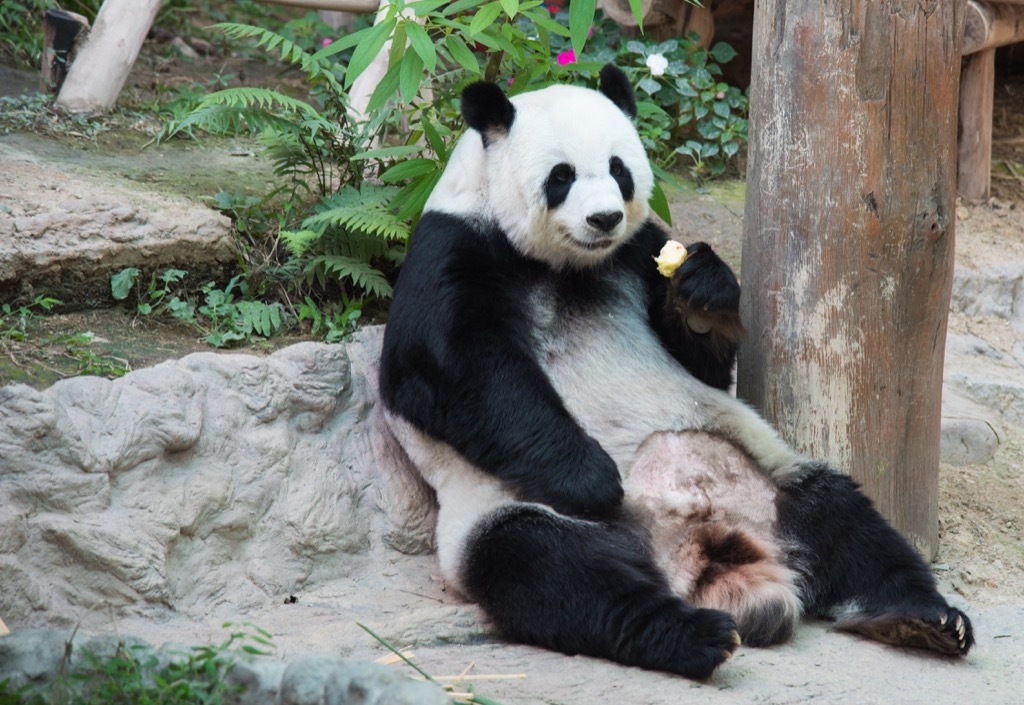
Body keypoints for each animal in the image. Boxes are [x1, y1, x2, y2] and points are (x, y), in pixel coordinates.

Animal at [378, 64, 973, 680]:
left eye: (619, 170)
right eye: (561, 176)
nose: (604, 218)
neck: (565, 264)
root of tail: (694, 547)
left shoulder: (640, 248)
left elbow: (701, 360)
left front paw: (703, 293)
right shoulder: (455, 245)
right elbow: (449, 372)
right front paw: (591, 477)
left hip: (769, 476)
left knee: (845, 522)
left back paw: (921, 618)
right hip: (503, 511)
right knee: (558, 570)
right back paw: (691, 634)